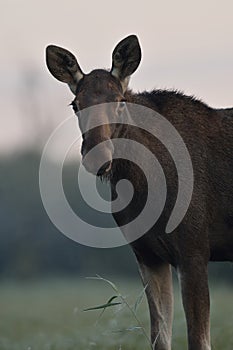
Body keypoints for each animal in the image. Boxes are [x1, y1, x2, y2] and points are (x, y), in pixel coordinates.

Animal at [46, 34, 233, 348]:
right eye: (75, 104)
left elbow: (198, 339)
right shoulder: (147, 254)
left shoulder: (194, 249)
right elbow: (159, 336)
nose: (97, 155)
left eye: (120, 101)